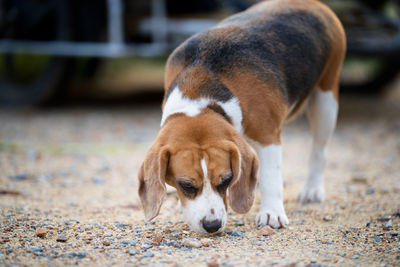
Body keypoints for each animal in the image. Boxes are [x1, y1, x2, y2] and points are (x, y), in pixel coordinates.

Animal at [138, 0, 344, 234]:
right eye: (186, 185)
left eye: (226, 181)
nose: (212, 226)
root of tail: (314, 4)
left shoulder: (268, 137)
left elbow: (271, 175)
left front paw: (272, 213)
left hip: (326, 101)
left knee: (319, 150)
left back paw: (312, 189)